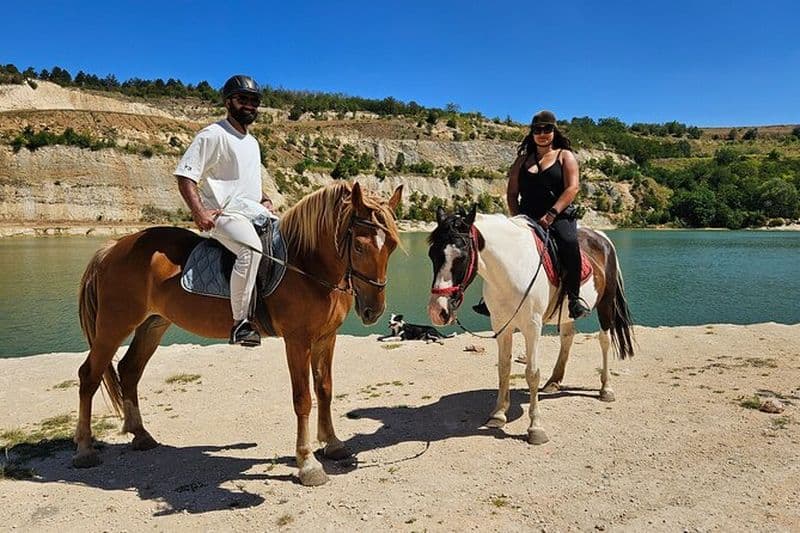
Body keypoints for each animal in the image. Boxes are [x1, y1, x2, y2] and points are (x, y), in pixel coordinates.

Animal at [75, 181, 402, 486]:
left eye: (391, 247)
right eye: (359, 246)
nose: (373, 310)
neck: (305, 263)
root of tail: (113, 246)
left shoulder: (326, 338)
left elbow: (325, 390)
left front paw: (332, 444)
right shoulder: (298, 341)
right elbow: (303, 399)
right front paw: (308, 463)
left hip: (153, 324)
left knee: (129, 370)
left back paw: (141, 436)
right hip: (114, 325)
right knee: (89, 376)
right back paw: (84, 450)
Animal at [426, 205, 634, 445]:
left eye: (461, 257)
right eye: (432, 255)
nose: (438, 311)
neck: (511, 267)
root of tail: (602, 237)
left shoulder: (532, 327)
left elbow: (532, 373)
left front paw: (535, 428)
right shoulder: (501, 326)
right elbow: (504, 368)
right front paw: (498, 414)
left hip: (606, 304)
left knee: (604, 340)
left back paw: (606, 389)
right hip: (567, 314)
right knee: (567, 337)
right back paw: (554, 382)